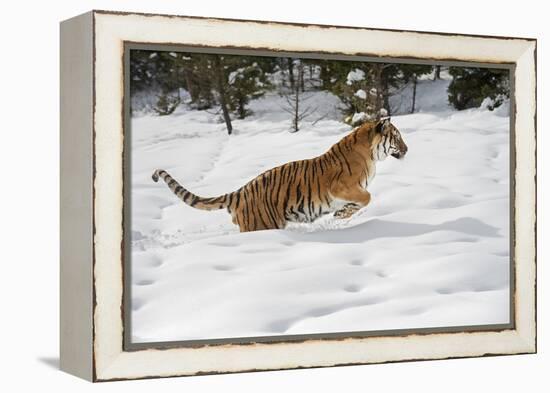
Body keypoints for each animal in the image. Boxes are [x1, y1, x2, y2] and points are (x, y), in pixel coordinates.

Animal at [153, 118, 408, 231]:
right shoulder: (342, 187)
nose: (407, 149)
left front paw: (342, 213)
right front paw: (341, 214)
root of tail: (239, 192)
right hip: (262, 224)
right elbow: (367, 197)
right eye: (397, 137)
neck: (371, 155)